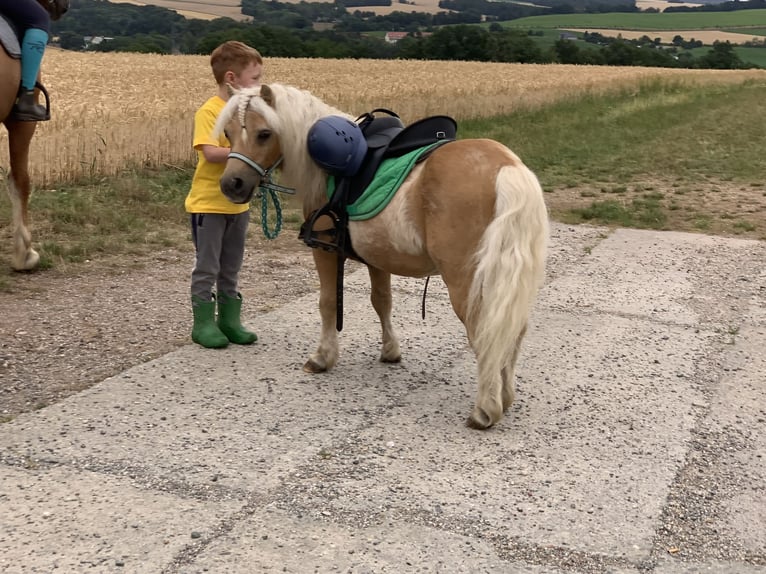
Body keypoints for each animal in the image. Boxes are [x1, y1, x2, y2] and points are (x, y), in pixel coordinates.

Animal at [216, 83, 552, 430]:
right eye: (228, 132)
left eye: (264, 133)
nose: (231, 184)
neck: (328, 169)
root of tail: (507, 168)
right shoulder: (379, 258)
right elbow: (382, 301)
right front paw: (390, 351)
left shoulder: (325, 252)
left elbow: (328, 304)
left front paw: (323, 357)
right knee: (511, 331)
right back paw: (506, 397)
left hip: (466, 284)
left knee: (486, 331)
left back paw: (486, 409)